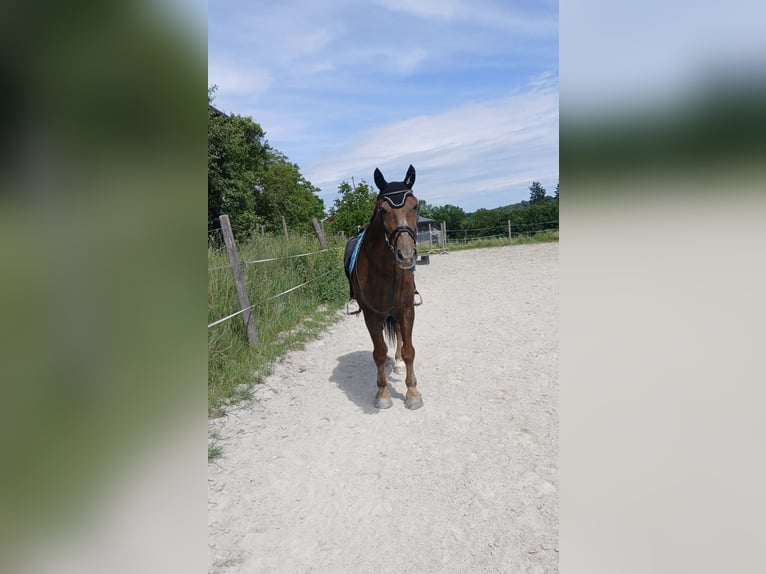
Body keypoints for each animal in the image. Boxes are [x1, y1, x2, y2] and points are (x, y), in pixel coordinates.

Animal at [344, 164, 423, 410]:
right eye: (382, 210)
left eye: (415, 205)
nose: (406, 255)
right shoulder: (371, 314)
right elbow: (378, 353)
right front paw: (382, 394)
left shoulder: (406, 310)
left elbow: (409, 351)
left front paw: (412, 393)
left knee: (397, 334)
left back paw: (397, 363)